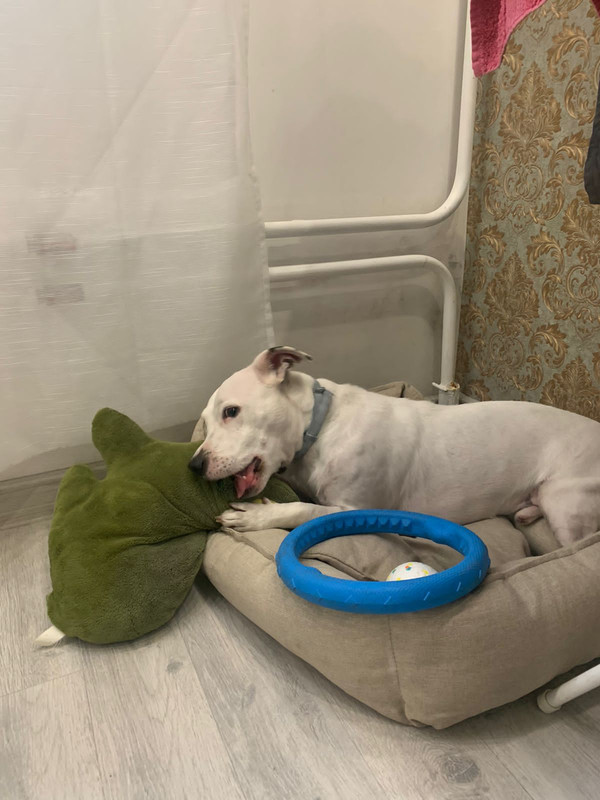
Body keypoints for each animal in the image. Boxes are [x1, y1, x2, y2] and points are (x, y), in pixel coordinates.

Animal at [189, 346, 600, 546]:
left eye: (231, 411)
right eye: (204, 421)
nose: (193, 466)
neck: (321, 427)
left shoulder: (354, 510)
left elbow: (302, 510)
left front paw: (256, 517)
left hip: (565, 503)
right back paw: (526, 513)